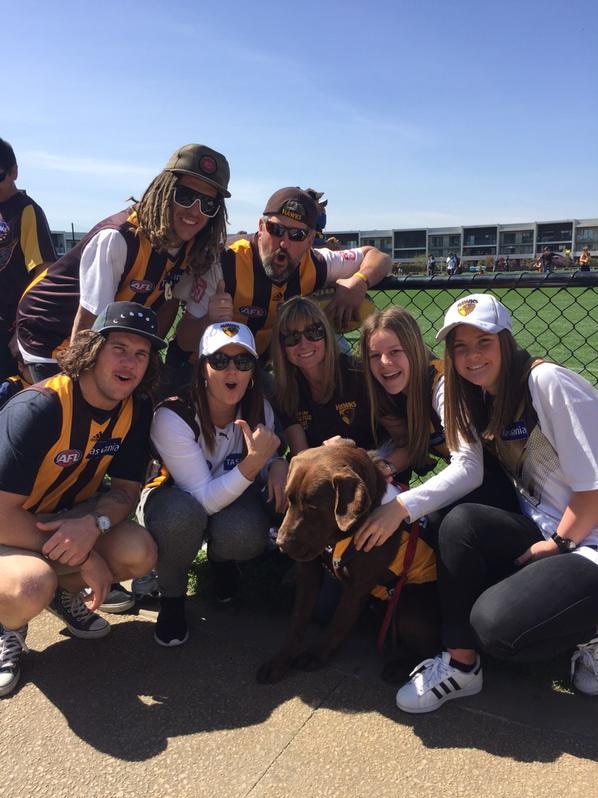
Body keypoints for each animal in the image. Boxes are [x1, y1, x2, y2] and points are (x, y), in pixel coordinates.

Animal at [256, 446, 440, 684]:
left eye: (313, 506)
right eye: (289, 499)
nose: (280, 544)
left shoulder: (357, 586)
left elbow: (339, 621)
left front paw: (315, 655)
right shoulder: (308, 572)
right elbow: (297, 619)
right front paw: (279, 661)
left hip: (409, 606)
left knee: (431, 649)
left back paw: (399, 667)